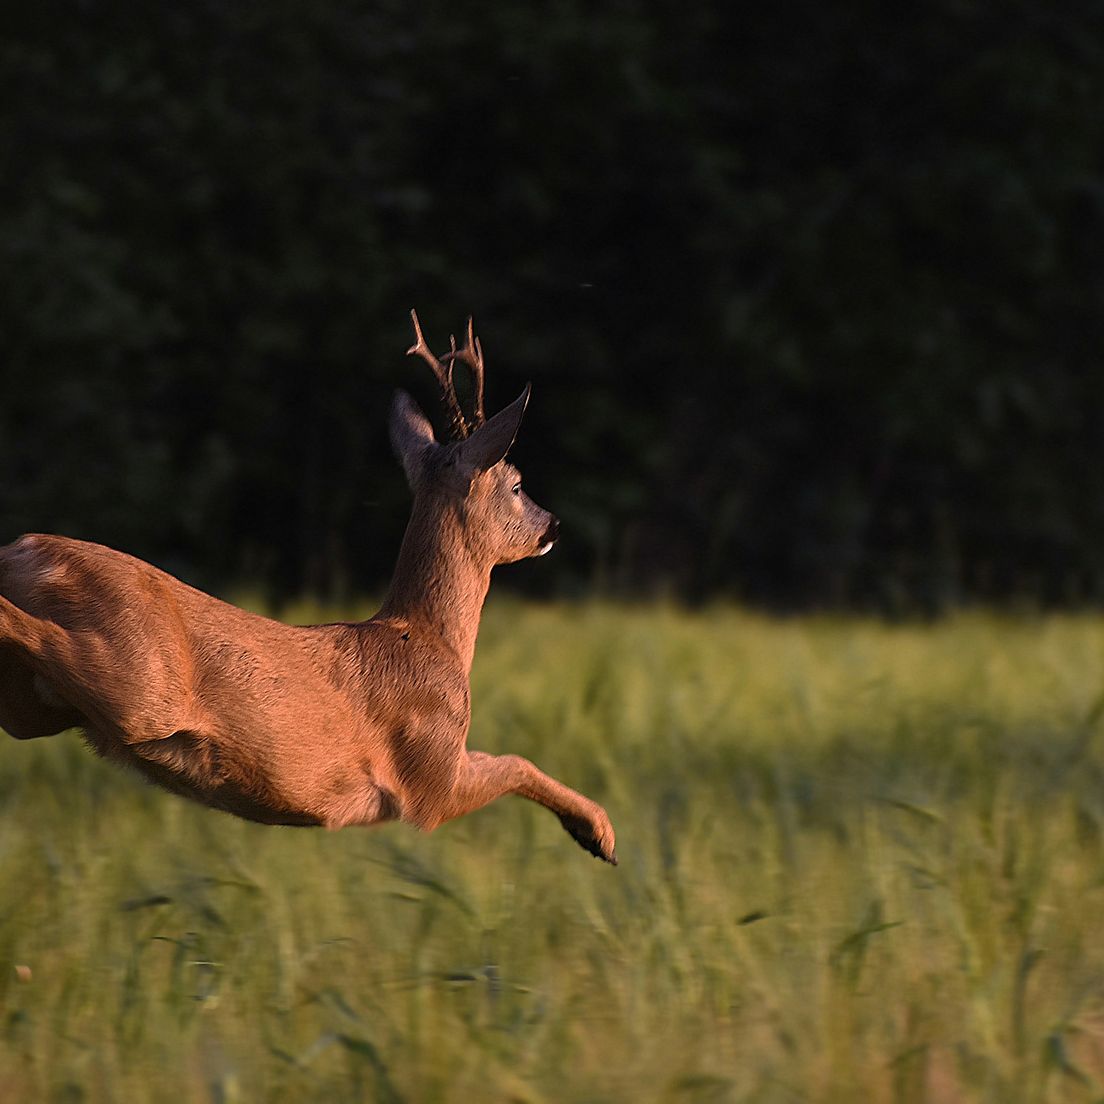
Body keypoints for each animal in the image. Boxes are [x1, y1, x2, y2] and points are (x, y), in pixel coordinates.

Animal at [0, 309, 618, 861]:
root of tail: (25, 551)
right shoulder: (431, 778)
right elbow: (516, 762)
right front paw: (599, 834)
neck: (428, 639)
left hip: (42, 708)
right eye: (516, 484)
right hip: (139, 687)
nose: (553, 526)